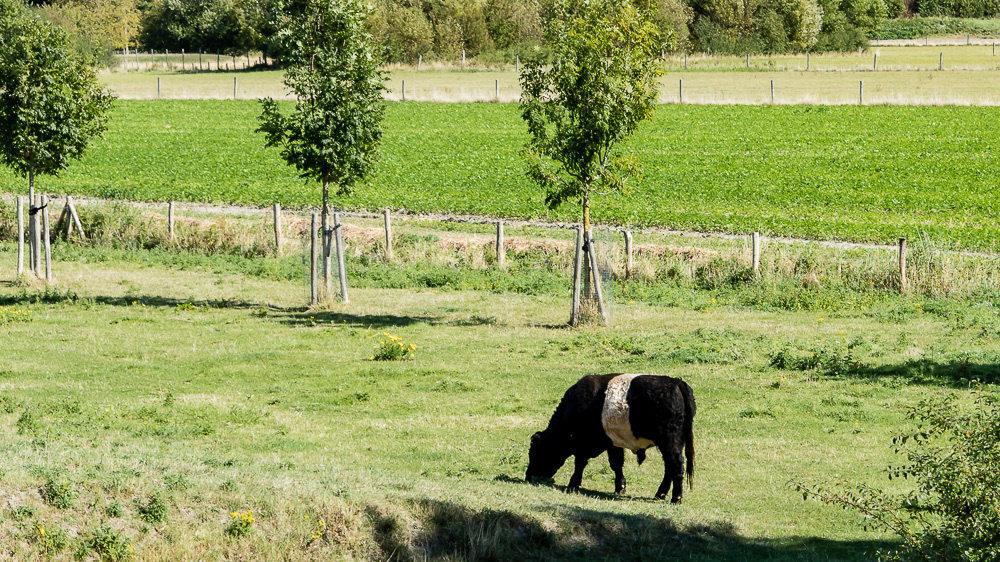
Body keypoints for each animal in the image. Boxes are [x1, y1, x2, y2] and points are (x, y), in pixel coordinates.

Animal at [525, 373, 695, 503]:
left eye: (535, 453)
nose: (528, 476)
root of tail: (677, 382)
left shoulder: (583, 444)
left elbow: (580, 463)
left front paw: (573, 484)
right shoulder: (613, 443)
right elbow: (616, 464)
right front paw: (620, 487)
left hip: (669, 441)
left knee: (676, 466)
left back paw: (675, 499)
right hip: (672, 443)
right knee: (669, 467)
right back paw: (660, 494)